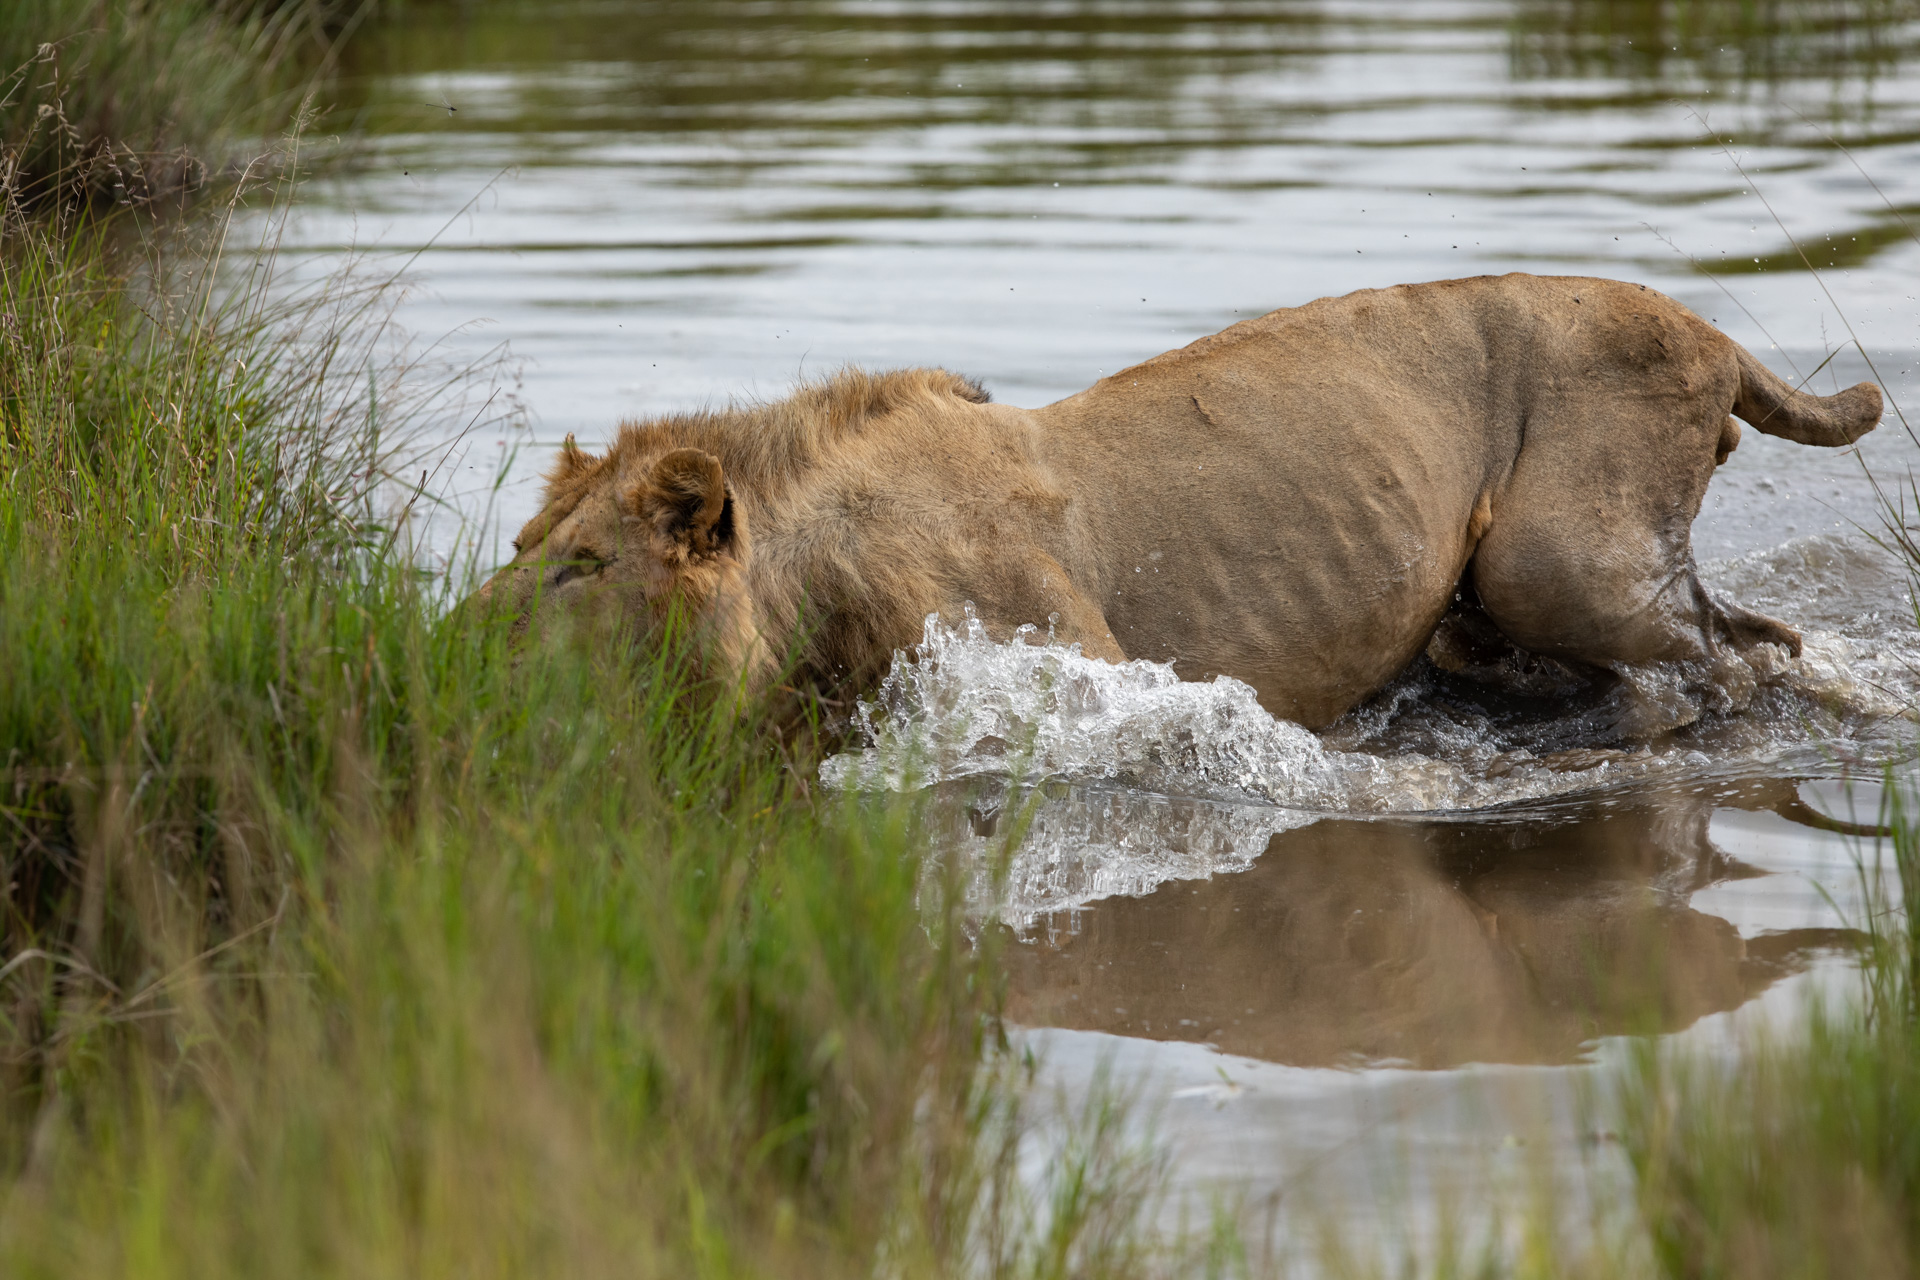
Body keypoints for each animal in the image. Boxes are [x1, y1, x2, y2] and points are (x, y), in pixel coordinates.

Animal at [472, 276, 1881, 736]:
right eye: (527, 548)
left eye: (581, 567)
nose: (451, 641)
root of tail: (1709, 330)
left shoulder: (1072, 658)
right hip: (1499, 605)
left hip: (1567, 562)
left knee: (1752, 652)